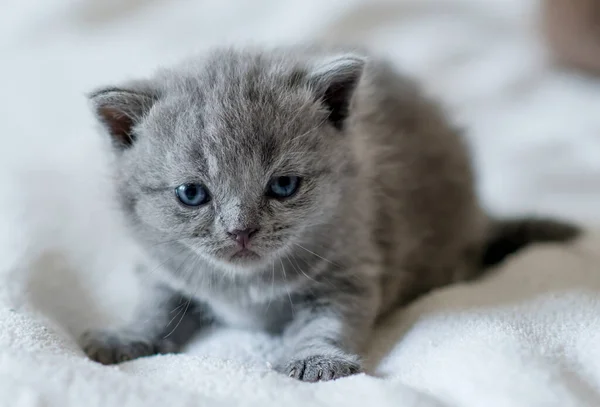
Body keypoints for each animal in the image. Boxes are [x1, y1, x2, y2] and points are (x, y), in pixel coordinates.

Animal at [77, 45, 580, 382]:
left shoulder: (350, 269)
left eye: (284, 186)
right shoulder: (161, 268)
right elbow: (155, 308)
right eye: (191, 193)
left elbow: (328, 321)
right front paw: (124, 337)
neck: (246, 286)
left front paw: (315, 361)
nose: (241, 231)